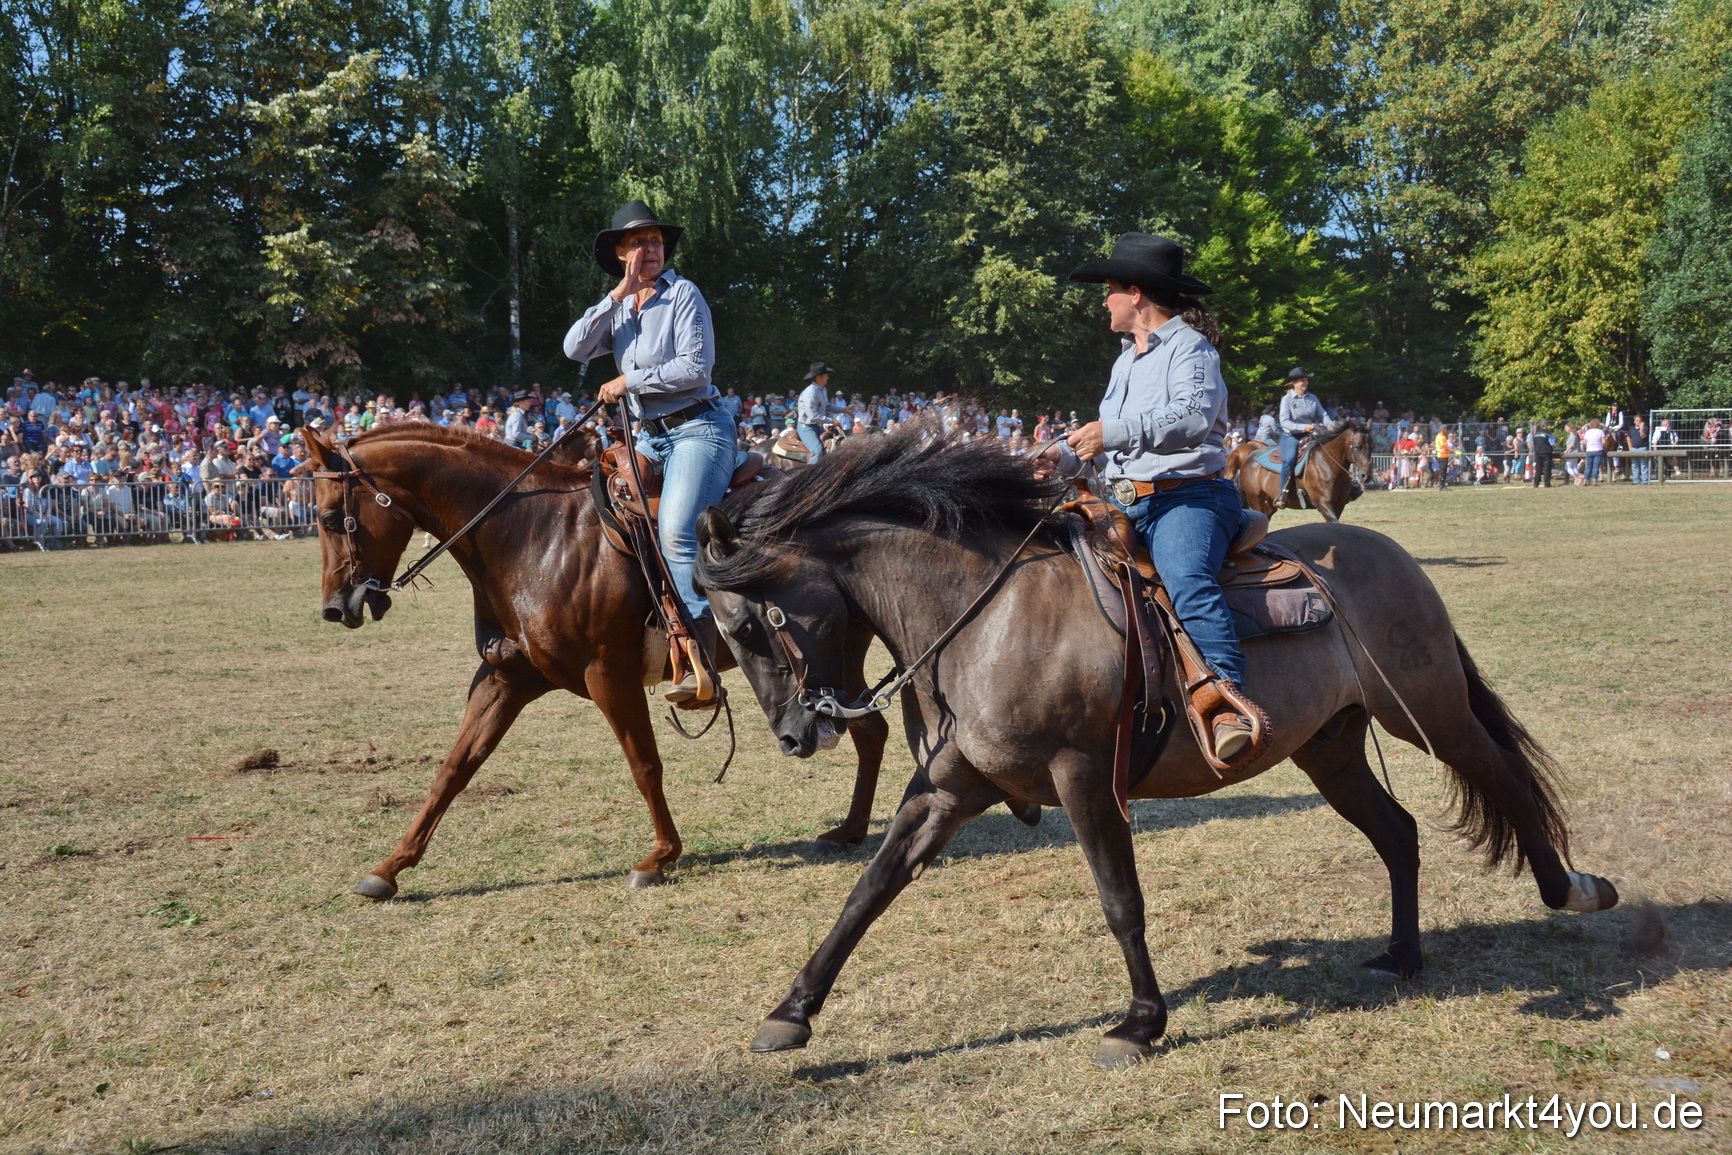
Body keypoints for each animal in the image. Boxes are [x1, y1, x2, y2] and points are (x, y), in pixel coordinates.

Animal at [299, 422, 891, 896]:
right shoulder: (505, 677)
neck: (533, 536)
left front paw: (659, 858)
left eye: (328, 518)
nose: (334, 608)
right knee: (869, 729)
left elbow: (644, 764)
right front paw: (389, 868)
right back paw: (848, 832)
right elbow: (454, 768)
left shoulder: (609, 674)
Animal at [1226, 420, 1371, 521]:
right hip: (1256, 499)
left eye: (1372, 446)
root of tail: (1249, 457)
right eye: (1357, 446)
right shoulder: (1323, 503)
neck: (1327, 465)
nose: (1366, 476)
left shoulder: (1339, 504)